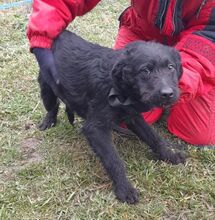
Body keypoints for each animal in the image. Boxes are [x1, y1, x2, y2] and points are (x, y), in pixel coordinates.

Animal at [38, 30, 185, 205]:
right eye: (145, 71)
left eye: (171, 67)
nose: (167, 94)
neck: (118, 86)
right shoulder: (95, 128)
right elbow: (114, 160)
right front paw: (124, 189)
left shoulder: (132, 116)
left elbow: (153, 137)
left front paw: (170, 155)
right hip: (47, 85)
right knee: (52, 105)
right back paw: (48, 121)